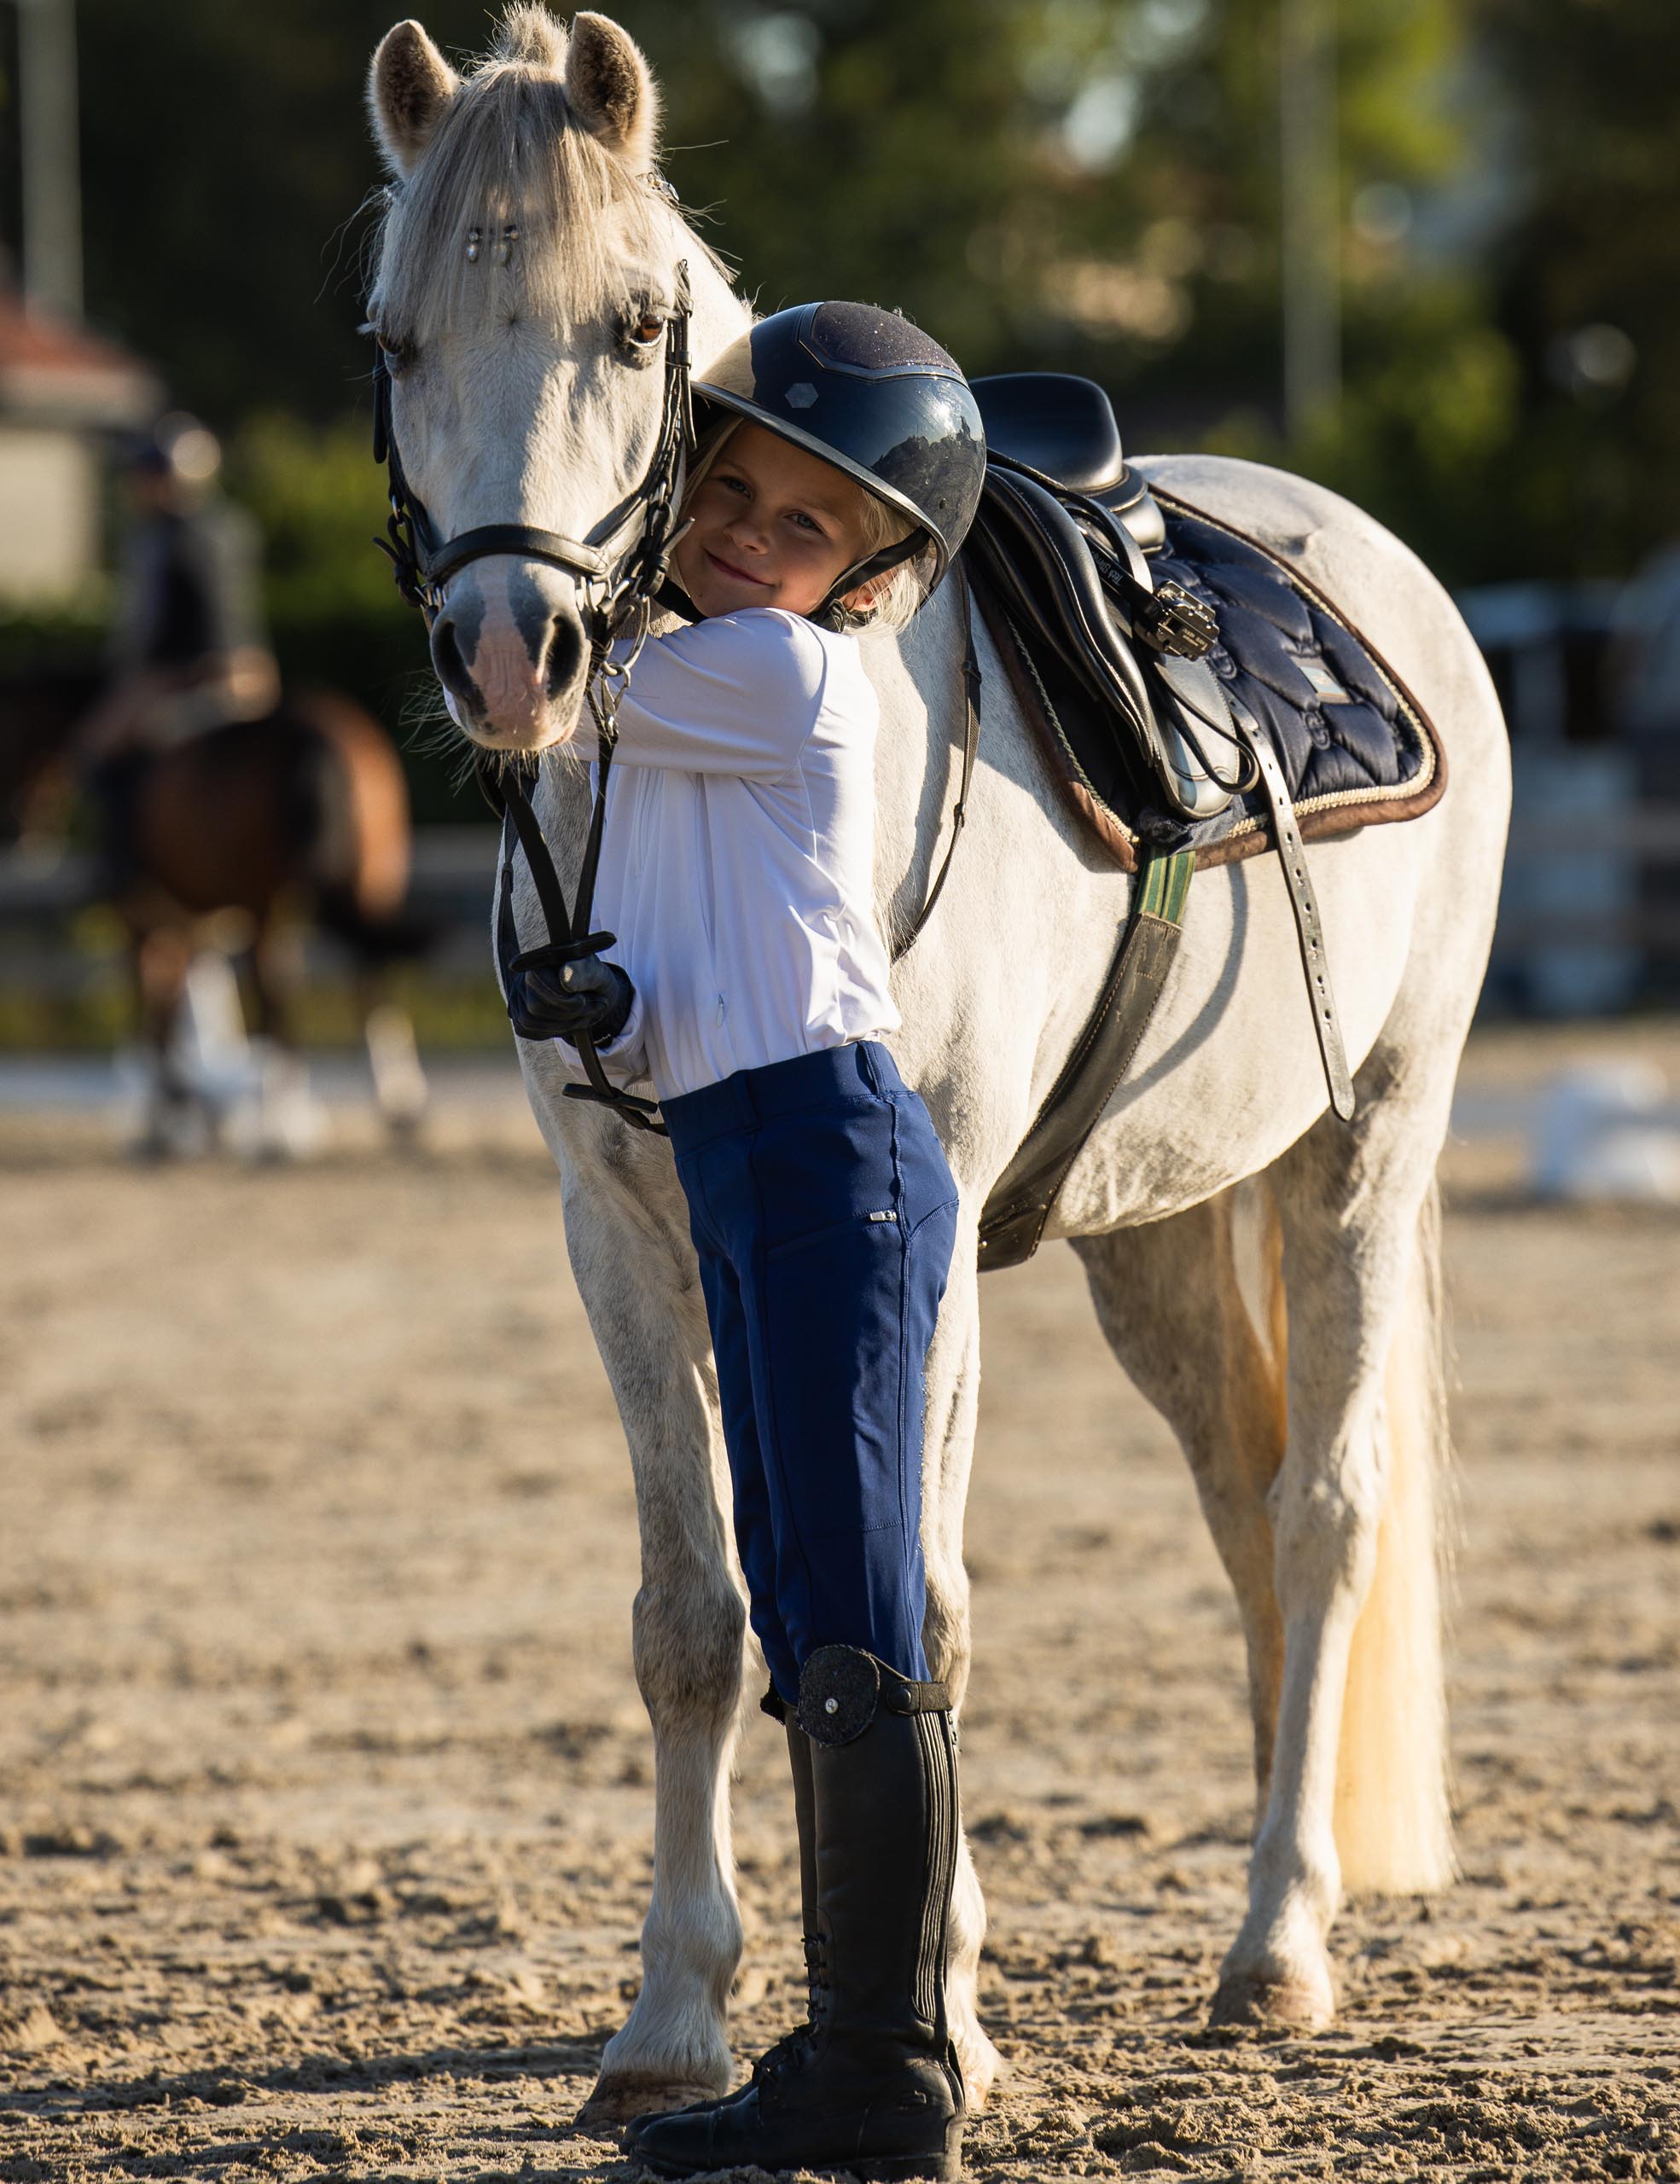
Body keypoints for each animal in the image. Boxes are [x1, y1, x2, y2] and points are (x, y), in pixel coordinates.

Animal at [363, 4, 1503, 2131]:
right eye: (396, 340)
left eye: (633, 326)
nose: (508, 649)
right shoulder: (620, 1234)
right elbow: (697, 1616)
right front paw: (674, 2013)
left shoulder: (923, 1216)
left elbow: (925, 1605)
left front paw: (945, 2013)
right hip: (1156, 1234)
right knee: (1247, 1501)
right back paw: (1277, 1874)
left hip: (1365, 1152)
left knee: (1325, 1510)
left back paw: (1279, 1938)